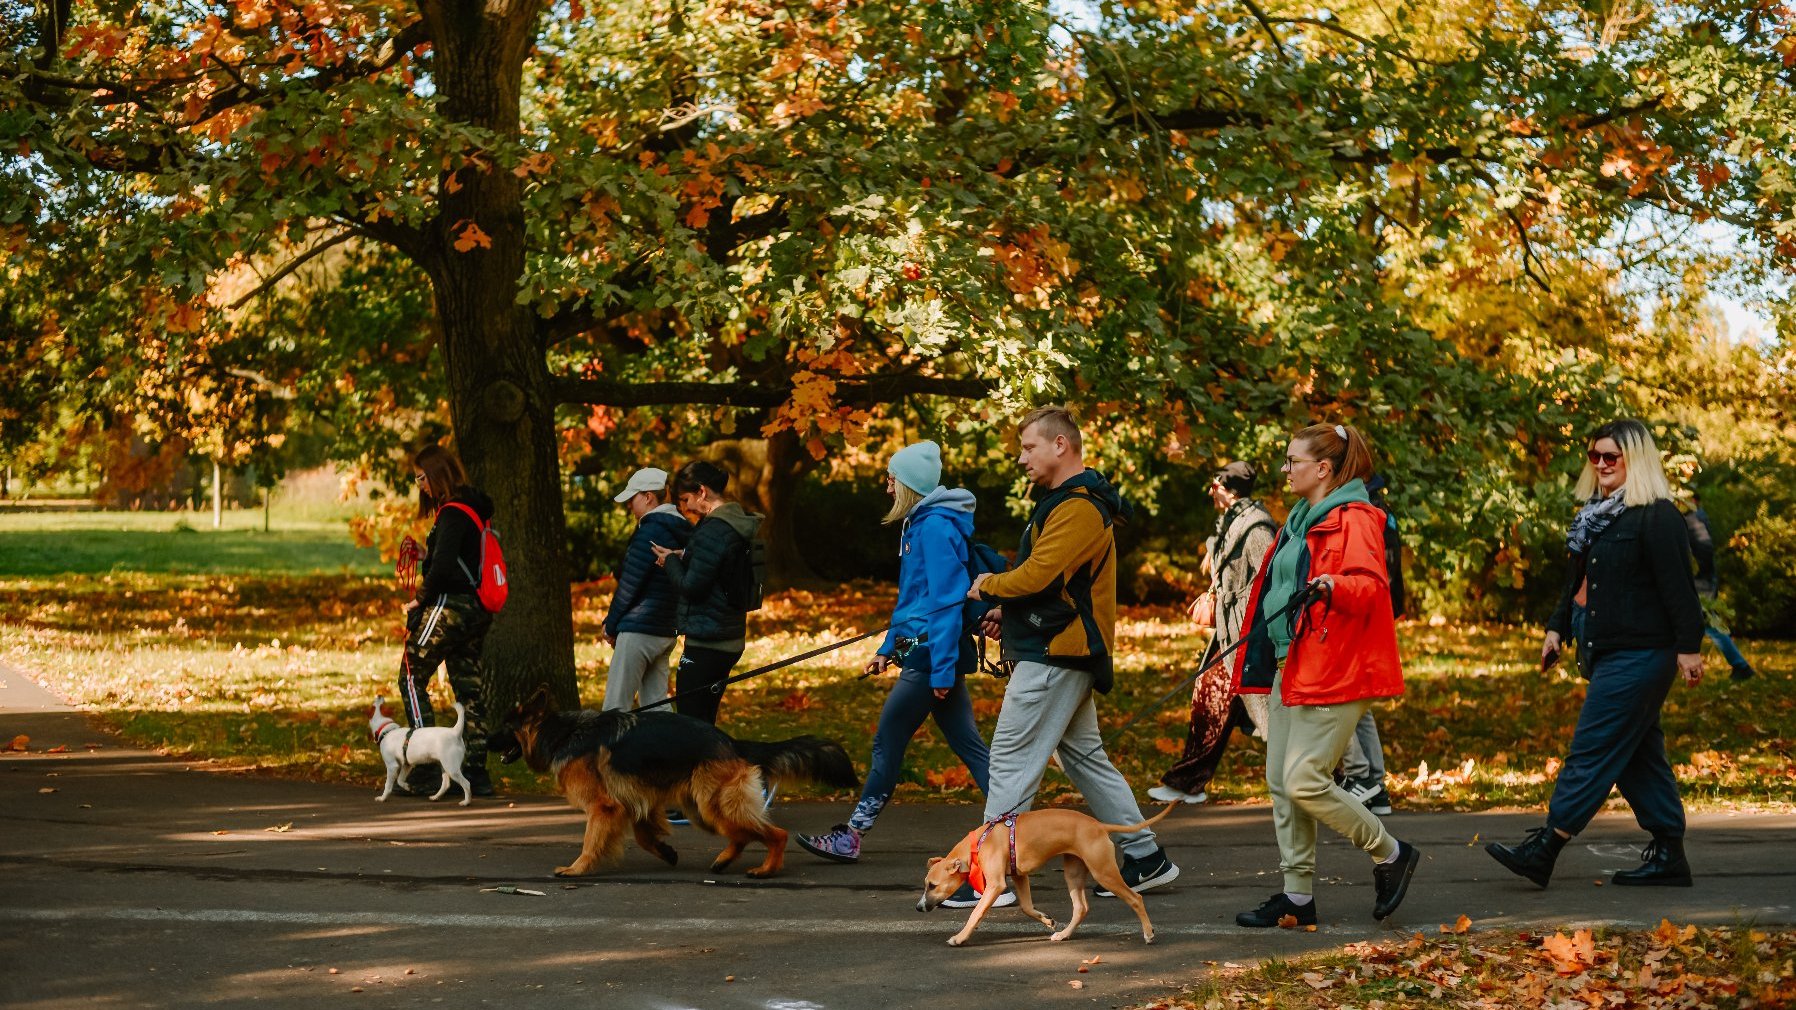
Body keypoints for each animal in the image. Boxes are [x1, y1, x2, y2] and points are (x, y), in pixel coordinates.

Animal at [488, 682, 858, 873]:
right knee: (741, 835)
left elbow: (591, 840)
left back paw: (767, 869)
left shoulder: (604, 807)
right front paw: (665, 851)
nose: (483, 741)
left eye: (505, 727)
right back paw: (725, 860)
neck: (562, 733)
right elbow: (643, 836)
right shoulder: (637, 801)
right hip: (700, 808)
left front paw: (577, 869)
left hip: (711, 806)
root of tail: (731, 741)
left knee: (775, 833)